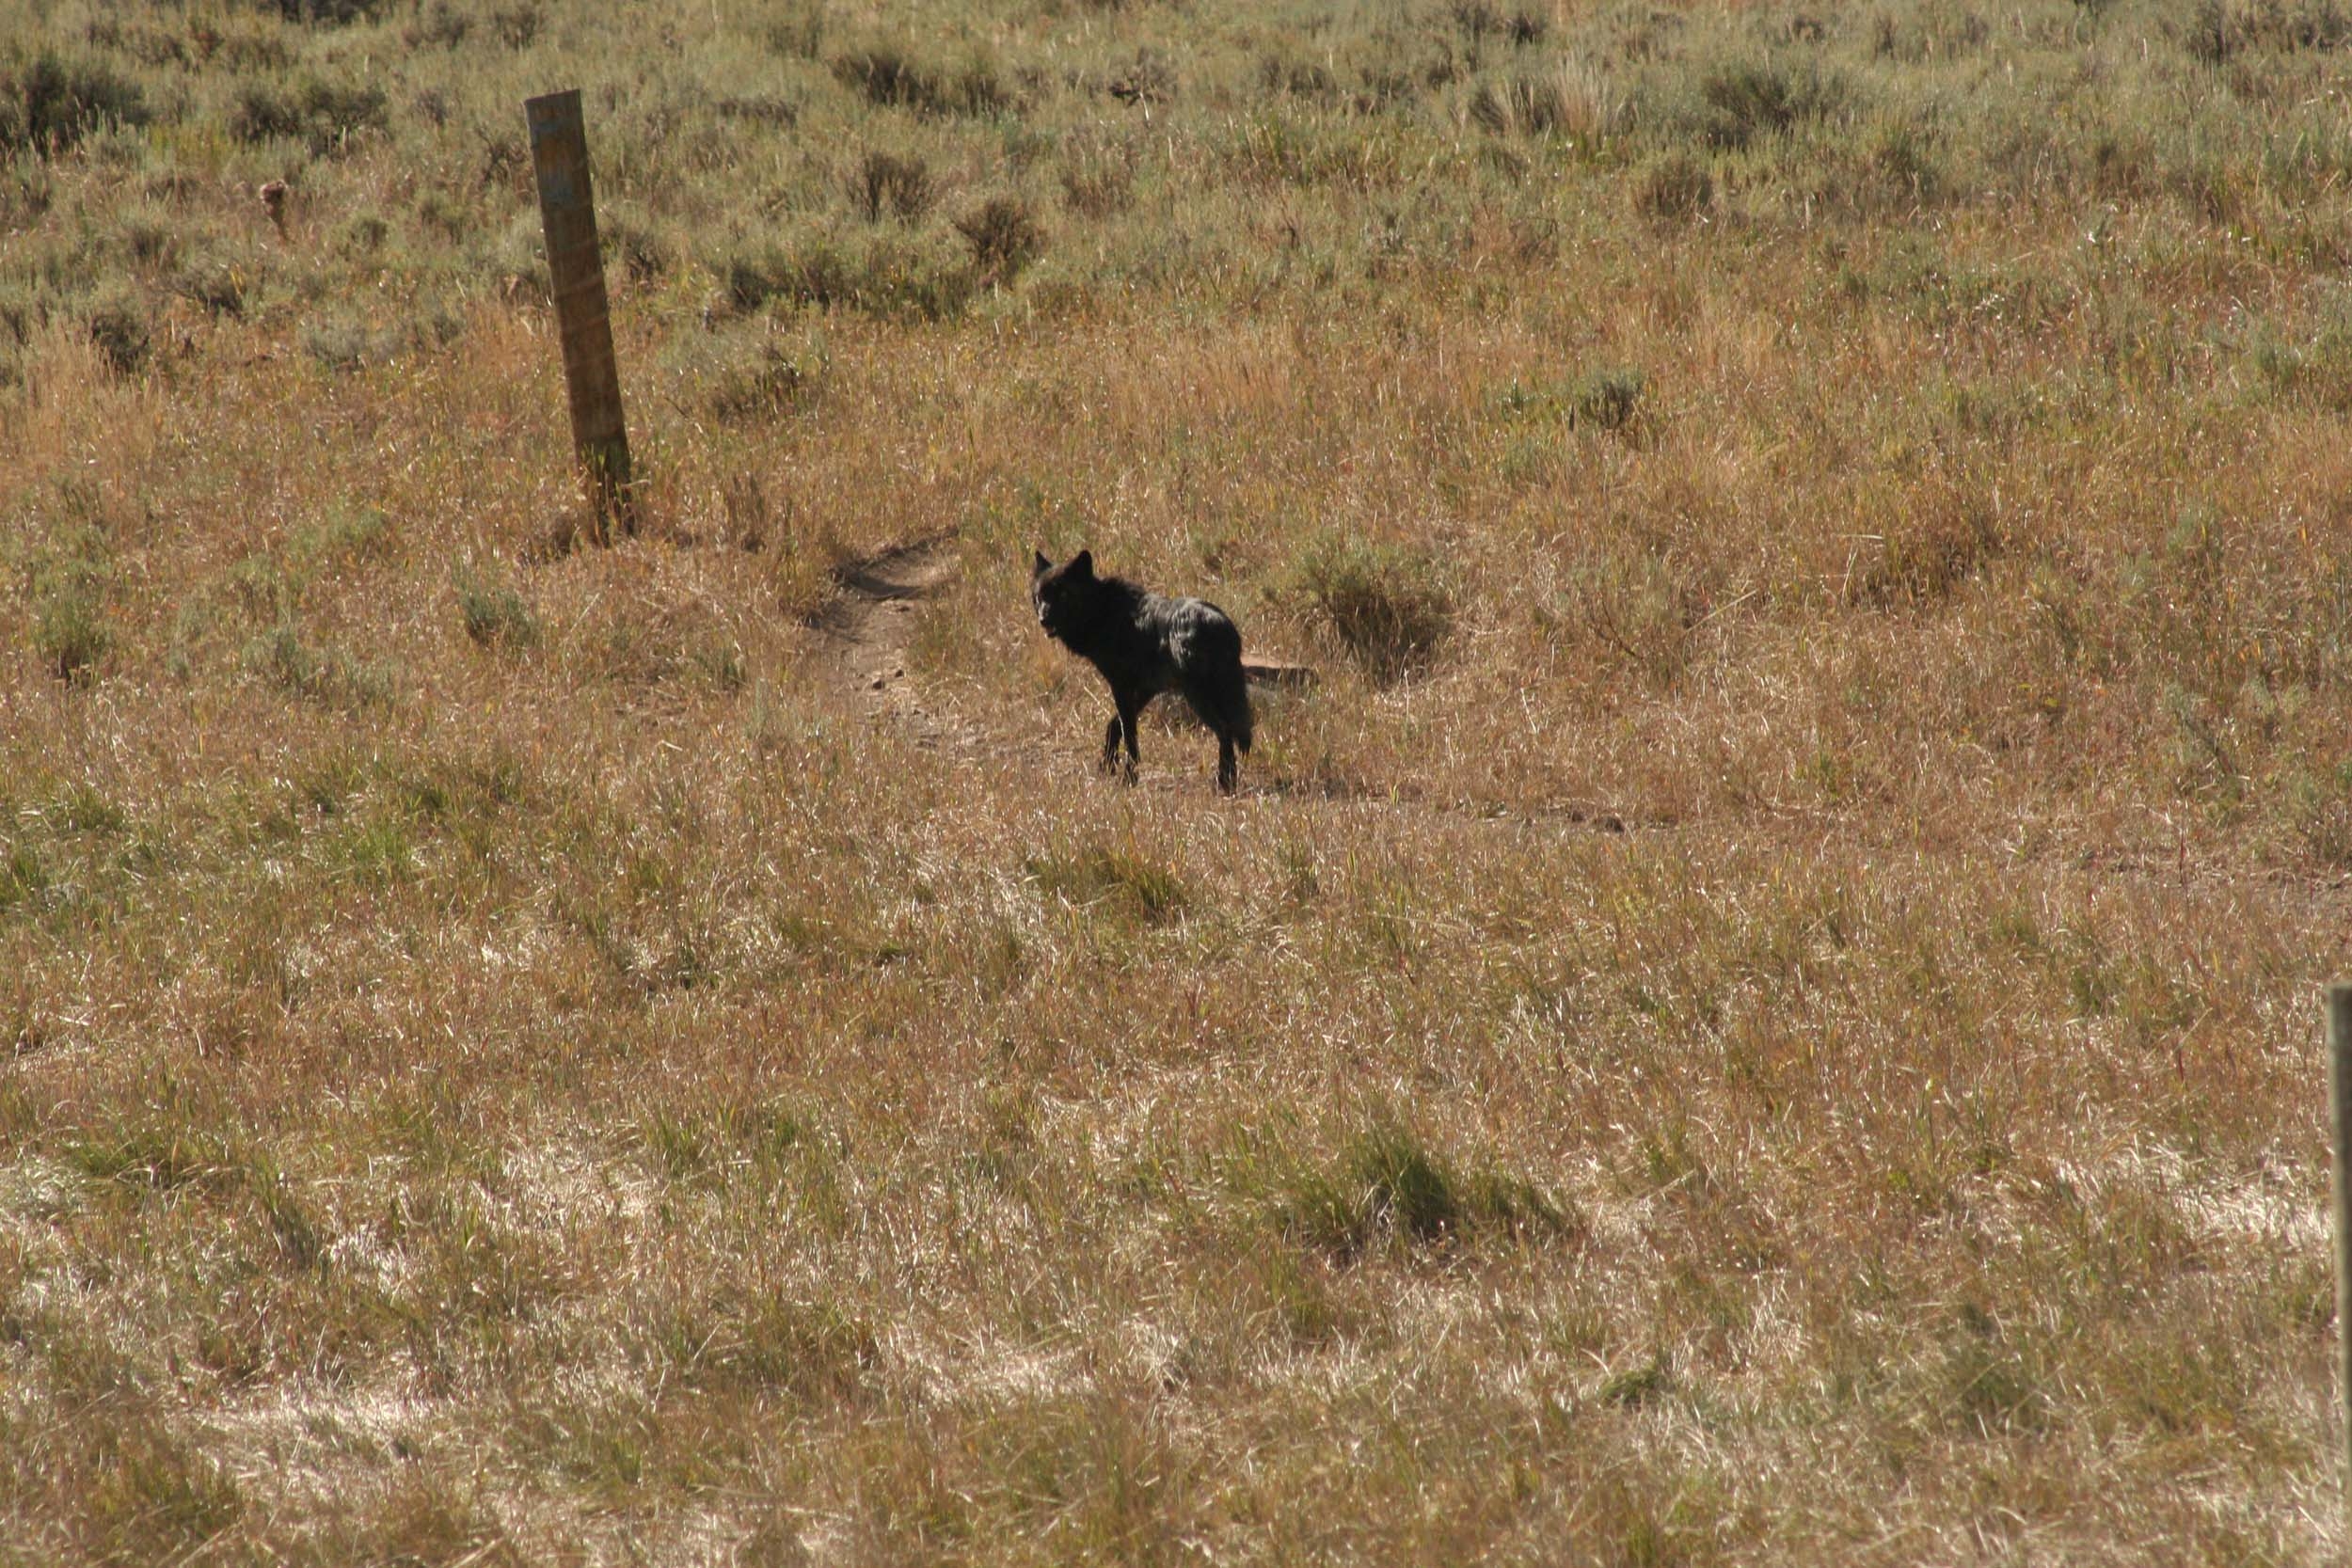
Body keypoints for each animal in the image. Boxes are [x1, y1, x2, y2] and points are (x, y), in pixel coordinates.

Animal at [1025, 552, 1251, 799]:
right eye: (1040, 597)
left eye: (1063, 594)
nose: (1043, 619)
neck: (1102, 612)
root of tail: (1222, 625)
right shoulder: (1147, 688)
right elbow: (1115, 725)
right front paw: (1107, 765)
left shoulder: (1121, 686)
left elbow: (1130, 735)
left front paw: (1128, 778)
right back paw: (1229, 782)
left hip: (1197, 698)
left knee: (1225, 731)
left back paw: (1224, 784)